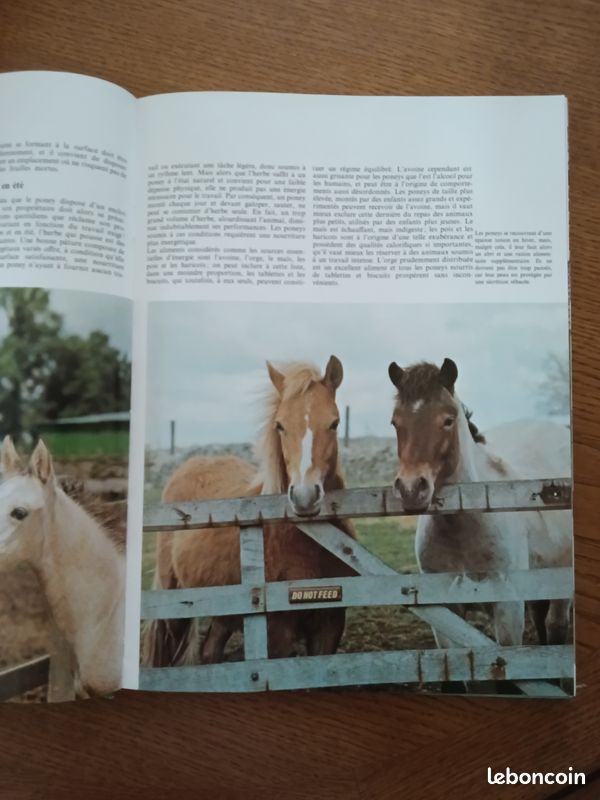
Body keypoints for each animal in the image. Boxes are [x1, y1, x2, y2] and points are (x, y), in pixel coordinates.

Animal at [142, 355, 356, 667]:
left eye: (335, 423)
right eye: (280, 425)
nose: (304, 497)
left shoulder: (329, 624)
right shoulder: (277, 632)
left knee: (210, 651)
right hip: (174, 603)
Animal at [387, 357, 572, 648]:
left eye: (448, 420)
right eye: (395, 422)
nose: (410, 489)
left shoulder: (508, 608)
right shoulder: (445, 611)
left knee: (556, 628)